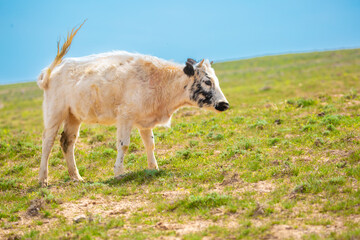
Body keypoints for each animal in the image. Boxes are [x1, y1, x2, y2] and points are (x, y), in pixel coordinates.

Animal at [38, 23, 229, 187]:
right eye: (207, 81)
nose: (224, 104)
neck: (158, 80)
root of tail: (52, 72)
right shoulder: (125, 118)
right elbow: (123, 144)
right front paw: (119, 173)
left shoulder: (145, 122)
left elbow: (150, 144)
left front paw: (154, 168)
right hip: (55, 114)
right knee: (48, 143)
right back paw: (43, 180)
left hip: (73, 117)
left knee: (67, 142)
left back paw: (76, 177)